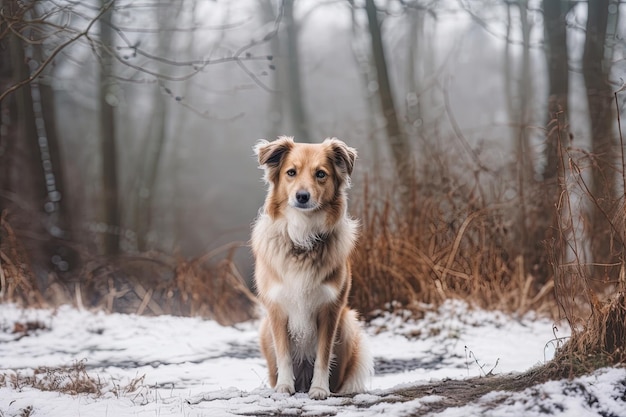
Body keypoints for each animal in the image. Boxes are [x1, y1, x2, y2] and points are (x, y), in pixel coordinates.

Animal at [251, 135, 370, 398]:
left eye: (321, 174)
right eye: (291, 172)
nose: (302, 196)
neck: (303, 235)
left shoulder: (330, 309)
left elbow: (323, 356)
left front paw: (319, 389)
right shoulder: (277, 309)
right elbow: (284, 355)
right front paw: (285, 386)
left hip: (348, 323)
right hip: (264, 329)